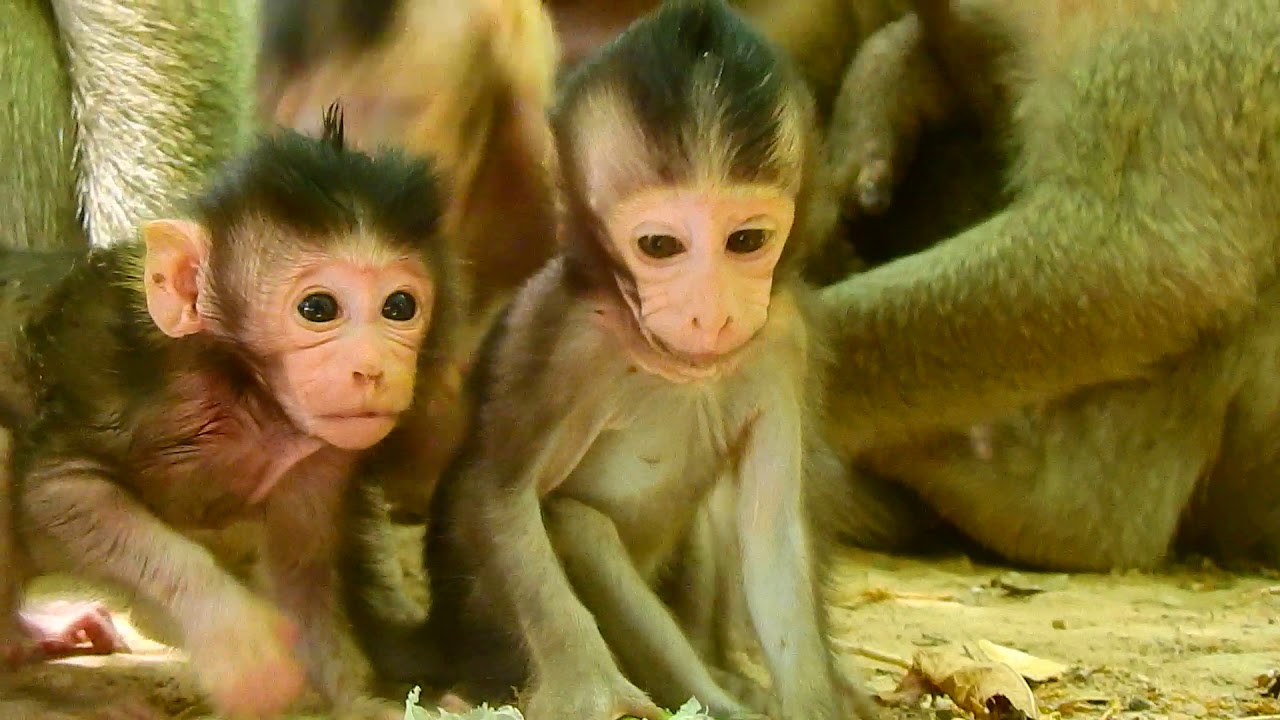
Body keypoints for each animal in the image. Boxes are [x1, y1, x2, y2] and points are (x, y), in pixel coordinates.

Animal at [0, 106, 461, 718]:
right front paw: (236, 636)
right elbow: (59, 492)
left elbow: (300, 577)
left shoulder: (318, 459)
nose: (372, 369)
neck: (246, 399)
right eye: (319, 309)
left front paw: (364, 700)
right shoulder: (131, 394)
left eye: (399, 307)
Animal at [373, 3, 881, 719]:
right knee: (576, 523)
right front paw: (590, 687)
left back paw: (725, 676)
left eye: (746, 240)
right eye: (661, 246)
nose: (710, 314)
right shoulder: (556, 336)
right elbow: (498, 493)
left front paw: (816, 696)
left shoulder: (786, 339)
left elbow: (774, 537)